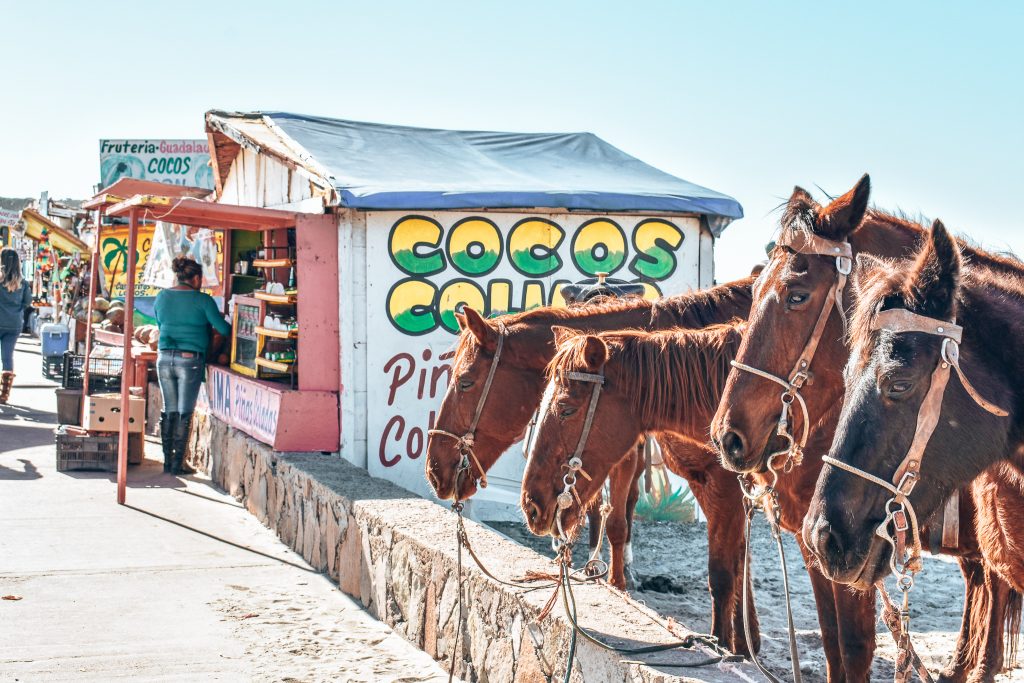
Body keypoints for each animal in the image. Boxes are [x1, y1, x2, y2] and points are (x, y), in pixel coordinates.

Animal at [423, 280, 761, 655]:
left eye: (466, 381)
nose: (434, 470)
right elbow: (736, 560)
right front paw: (745, 640)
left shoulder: (724, 482)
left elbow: (724, 571)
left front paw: (732, 646)